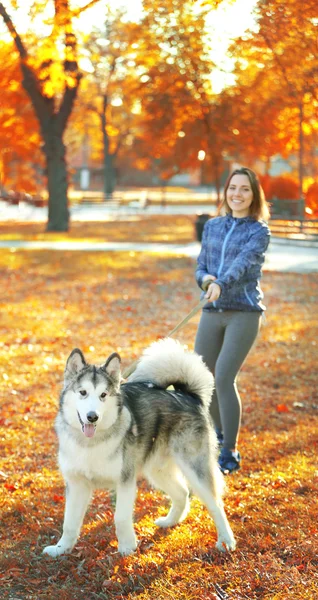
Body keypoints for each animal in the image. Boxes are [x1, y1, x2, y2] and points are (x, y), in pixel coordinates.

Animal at [42, 338, 236, 556]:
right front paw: (61, 549)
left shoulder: (125, 481)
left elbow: (120, 517)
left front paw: (127, 548)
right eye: (83, 392)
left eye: (103, 395)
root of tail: (188, 395)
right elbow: (69, 522)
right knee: (182, 493)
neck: (90, 444)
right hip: (158, 471)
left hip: (195, 469)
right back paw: (170, 521)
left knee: (216, 504)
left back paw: (226, 541)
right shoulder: (77, 485)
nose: (92, 417)